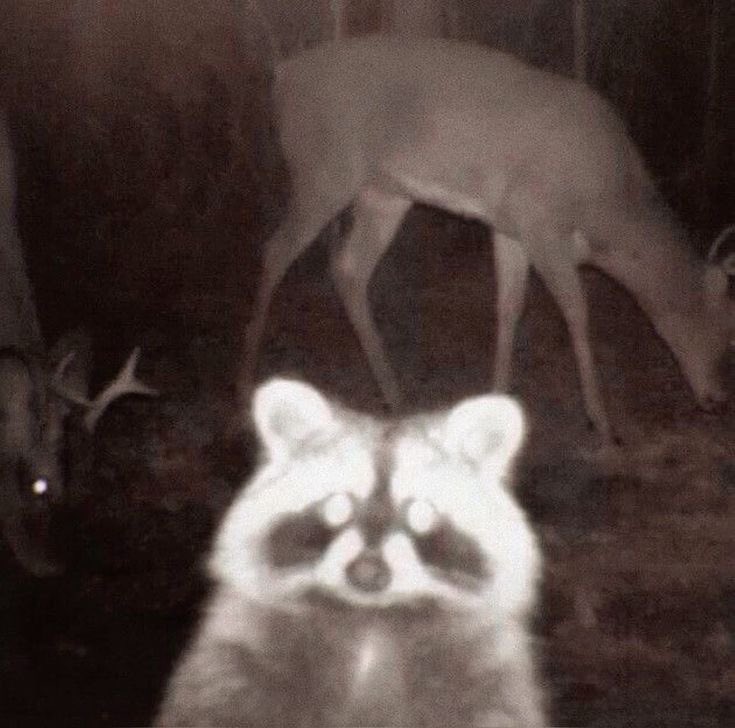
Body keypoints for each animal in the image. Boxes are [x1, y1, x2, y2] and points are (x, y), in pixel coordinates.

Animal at [238, 33, 735, 444]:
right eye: (727, 328)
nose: (717, 399)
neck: (608, 211)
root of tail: (283, 76)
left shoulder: (510, 226)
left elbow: (509, 306)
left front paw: (497, 397)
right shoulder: (542, 222)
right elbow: (577, 312)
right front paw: (601, 420)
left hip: (383, 193)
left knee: (348, 269)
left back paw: (394, 395)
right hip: (325, 170)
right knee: (274, 250)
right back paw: (245, 379)